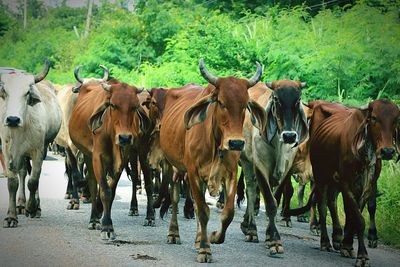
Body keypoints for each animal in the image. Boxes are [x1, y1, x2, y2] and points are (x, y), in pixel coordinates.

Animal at [0, 61, 61, 228]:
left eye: (27, 92)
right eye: (4, 91)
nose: (12, 119)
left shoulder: (38, 151)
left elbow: (33, 181)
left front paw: (32, 208)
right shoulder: (7, 151)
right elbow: (12, 182)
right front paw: (11, 217)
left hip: (42, 148)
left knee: (34, 176)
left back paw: (34, 207)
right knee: (22, 173)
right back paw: (21, 204)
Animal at [69, 73, 150, 241]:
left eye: (134, 107)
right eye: (113, 105)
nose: (124, 138)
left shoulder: (121, 160)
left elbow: (110, 192)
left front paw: (106, 222)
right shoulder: (98, 157)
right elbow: (104, 191)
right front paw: (106, 226)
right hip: (88, 154)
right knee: (93, 183)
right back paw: (93, 219)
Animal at [159, 59, 266, 264]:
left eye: (245, 105)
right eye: (221, 103)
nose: (236, 143)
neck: (215, 144)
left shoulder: (231, 174)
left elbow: (228, 213)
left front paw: (214, 237)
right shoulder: (193, 173)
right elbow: (202, 211)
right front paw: (205, 250)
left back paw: (198, 238)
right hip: (175, 167)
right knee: (175, 198)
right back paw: (174, 234)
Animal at [308, 99, 398, 266]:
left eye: (396, 119)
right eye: (374, 118)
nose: (388, 152)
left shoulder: (368, 186)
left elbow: (356, 214)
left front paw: (348, 245)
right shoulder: (346, 183)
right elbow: (359, 220)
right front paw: (362, 256)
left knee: (331, 202)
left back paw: (338, 237)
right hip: (320, 175)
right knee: (322, 205)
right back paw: (325, 241)